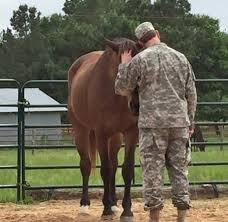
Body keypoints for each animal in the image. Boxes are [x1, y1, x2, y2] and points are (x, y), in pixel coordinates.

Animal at [67, 37, 140, 220]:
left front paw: (126, 210)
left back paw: (114, 204)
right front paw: (106, 209)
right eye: (122, 68)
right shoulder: (101, 134)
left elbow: (126, 169)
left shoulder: (131, 133)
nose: (136, 105)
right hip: (81, 130)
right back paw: (85, 205)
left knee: (114, 165)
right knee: (86, 165)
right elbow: (105, 170)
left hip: (116, 137)